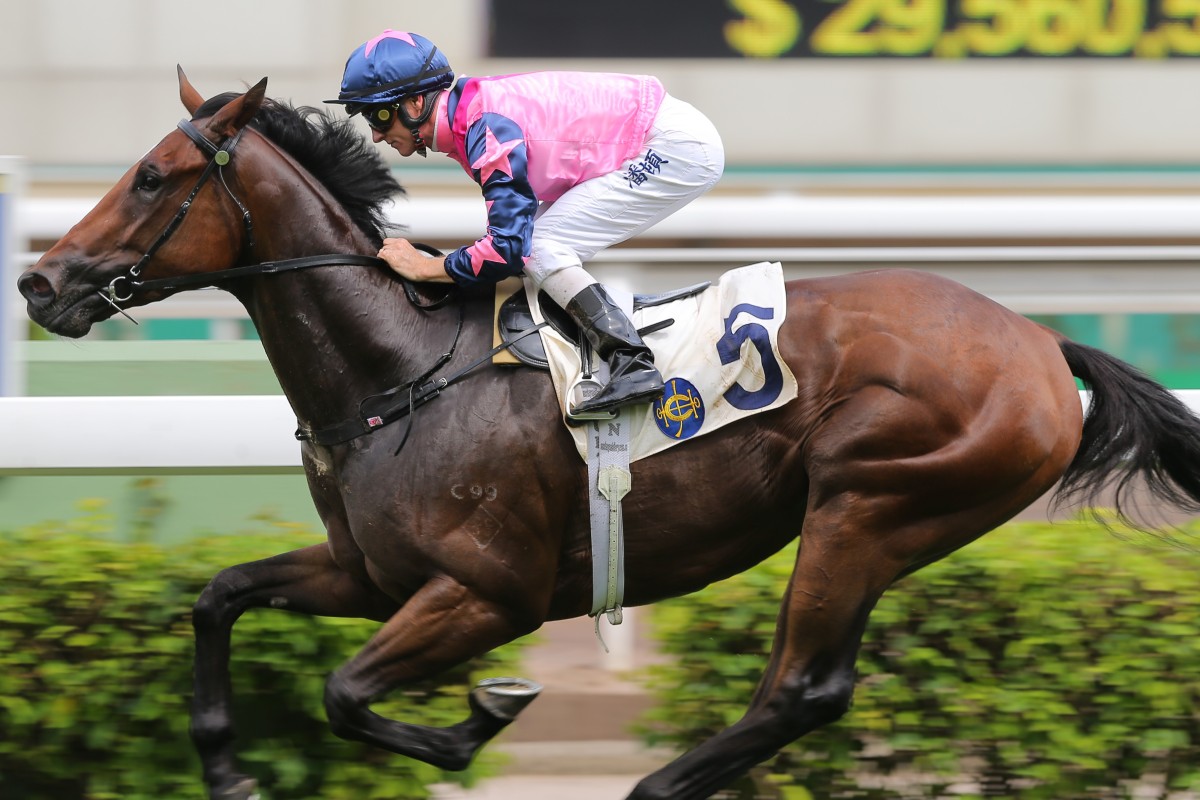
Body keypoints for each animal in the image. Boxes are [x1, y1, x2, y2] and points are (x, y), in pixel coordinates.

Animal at [16, 70, 1200, 800]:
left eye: (152, 177)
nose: (40, 282)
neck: (398, 371)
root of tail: (1040, 342)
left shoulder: (484, 591)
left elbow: (347, 692)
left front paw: (477, 718)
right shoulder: (370, 572)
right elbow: (218, 598)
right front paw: (227, 766)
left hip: (871, 504)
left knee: (803, 684)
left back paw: (655, 782)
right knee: (803, 687)